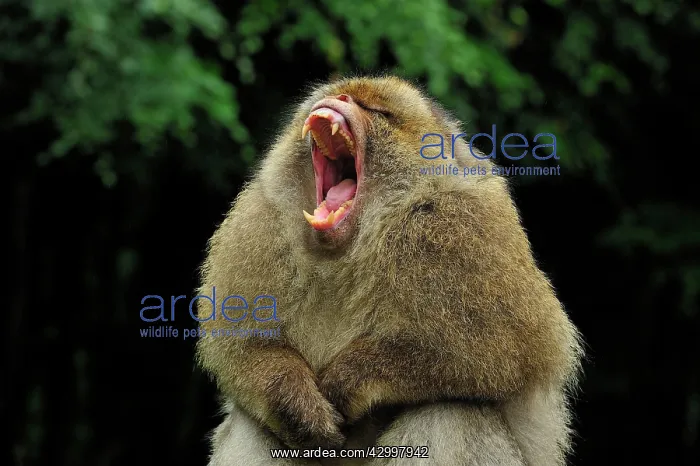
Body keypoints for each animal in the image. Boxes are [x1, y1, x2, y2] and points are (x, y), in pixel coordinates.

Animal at [195, 75, 584, 466]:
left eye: (377, 111)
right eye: (340, 95)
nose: (341, 97)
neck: (354, 246)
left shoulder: (469, 229)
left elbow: (514, 349)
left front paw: (353, 378)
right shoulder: (258, 225)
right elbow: (241, 347)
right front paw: (292, 400)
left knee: (450, 412)